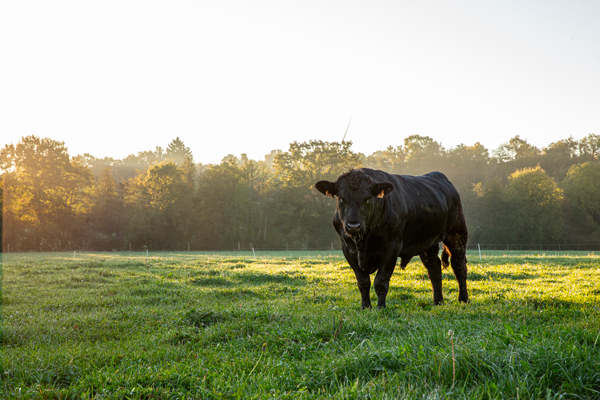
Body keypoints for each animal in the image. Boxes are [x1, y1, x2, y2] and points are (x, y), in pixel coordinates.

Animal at [314, 167, 468, 308]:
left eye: (368, 198)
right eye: (341, 198)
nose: (353, 226)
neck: (363, 243)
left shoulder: (391, 248)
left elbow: (381, 282)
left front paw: (380, 307)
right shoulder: (347, 249)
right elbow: (363, 282)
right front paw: (365, 306)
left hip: (457, 233)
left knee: (459, 265)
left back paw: (463, 299)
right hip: (427, 242)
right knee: (434, 267)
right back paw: (438, 301)